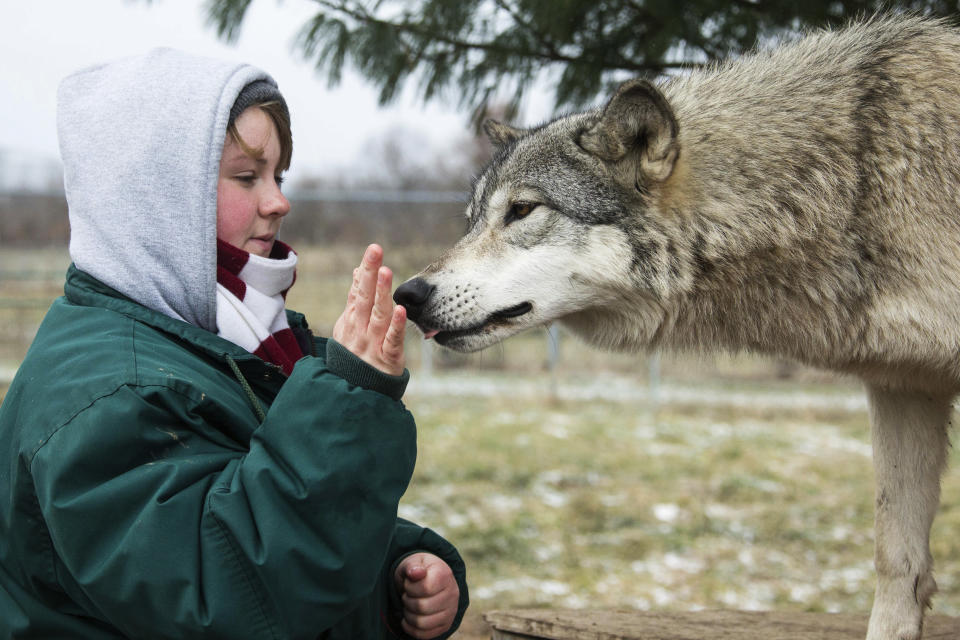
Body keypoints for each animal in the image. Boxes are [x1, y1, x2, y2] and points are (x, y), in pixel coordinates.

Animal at [390, 13, 960, 640]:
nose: (408, 295)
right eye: (472, 221)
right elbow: (896, 557)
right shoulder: (903, 385)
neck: (855, 178)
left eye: (521, 211)